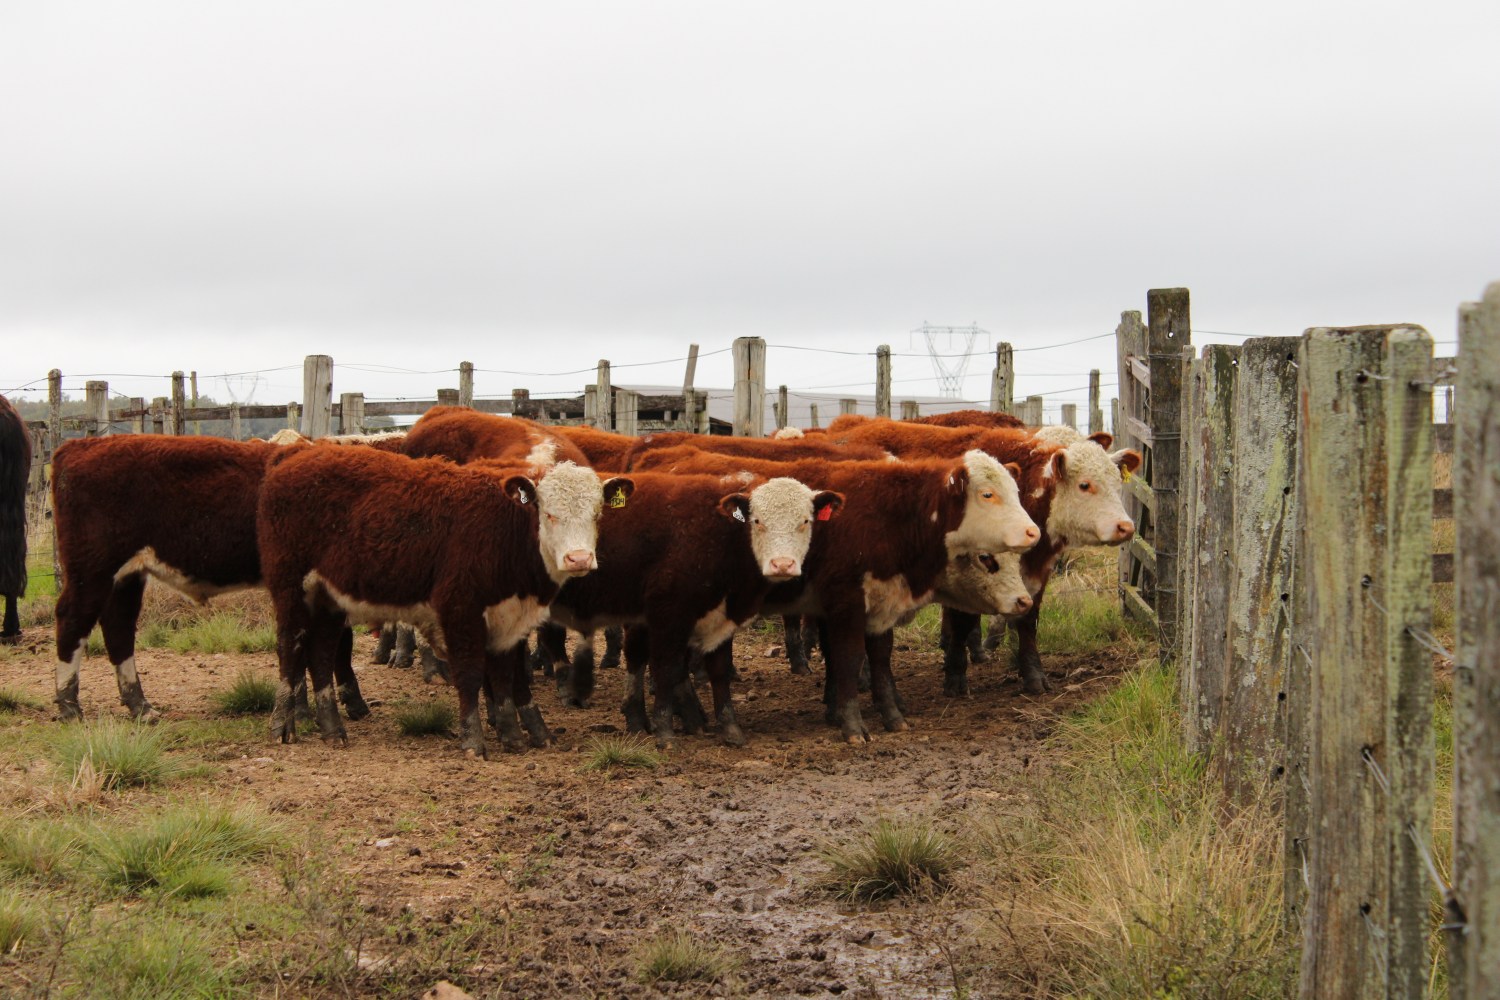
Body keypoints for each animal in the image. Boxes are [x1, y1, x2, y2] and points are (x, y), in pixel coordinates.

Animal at [258, 446, 633, 758]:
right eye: (550, 514)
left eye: (597, 513)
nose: (579, 558)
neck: (506, 530)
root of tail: (292, 460)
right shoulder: (460, 609)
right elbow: (470, 673)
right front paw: (474, 741)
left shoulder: (508, 617)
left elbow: (507, 675)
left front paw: (518, 736)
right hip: (291, 589)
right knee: (290, 648)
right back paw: (282, 727)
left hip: (329, 599)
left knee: (321, 654)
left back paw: (332, 730)